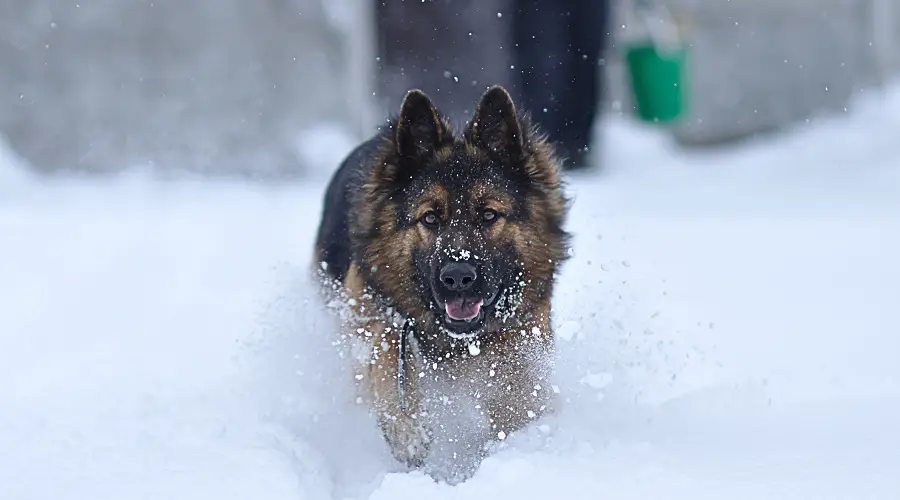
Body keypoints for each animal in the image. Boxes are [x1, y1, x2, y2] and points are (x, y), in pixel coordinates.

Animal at [316, 86, 568, 480]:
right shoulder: (375, 317)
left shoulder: (524, 340)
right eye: (430, 217)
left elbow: (517, 394)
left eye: (489, 215)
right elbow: (387, 353)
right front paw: (407, 429)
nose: (457, 277)